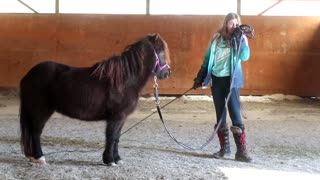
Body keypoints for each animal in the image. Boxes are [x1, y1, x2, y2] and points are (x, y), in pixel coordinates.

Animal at [19, 33, 171, 166]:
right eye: (162, 53)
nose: (167, 73)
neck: (125, 81)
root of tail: (28, 75)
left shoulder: (121, 118)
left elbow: (117, 138)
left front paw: (117, 159)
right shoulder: (116, 117)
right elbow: (111, 137)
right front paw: (110, 160)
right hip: (41, 110)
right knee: (35, 132)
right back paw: (40, 158)